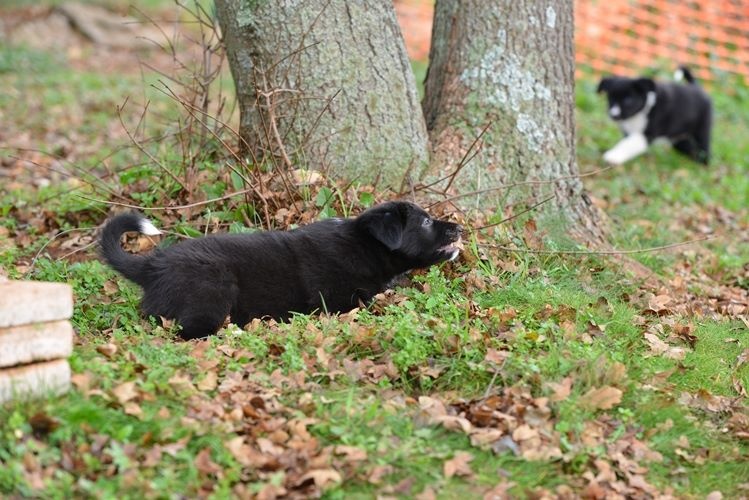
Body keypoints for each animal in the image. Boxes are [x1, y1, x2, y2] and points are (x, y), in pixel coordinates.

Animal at [99, 201, 462, 338]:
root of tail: (153, 265)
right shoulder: (340, 303)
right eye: (425, 222)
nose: (459, 227)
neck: (363, 245)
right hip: (213, 288)